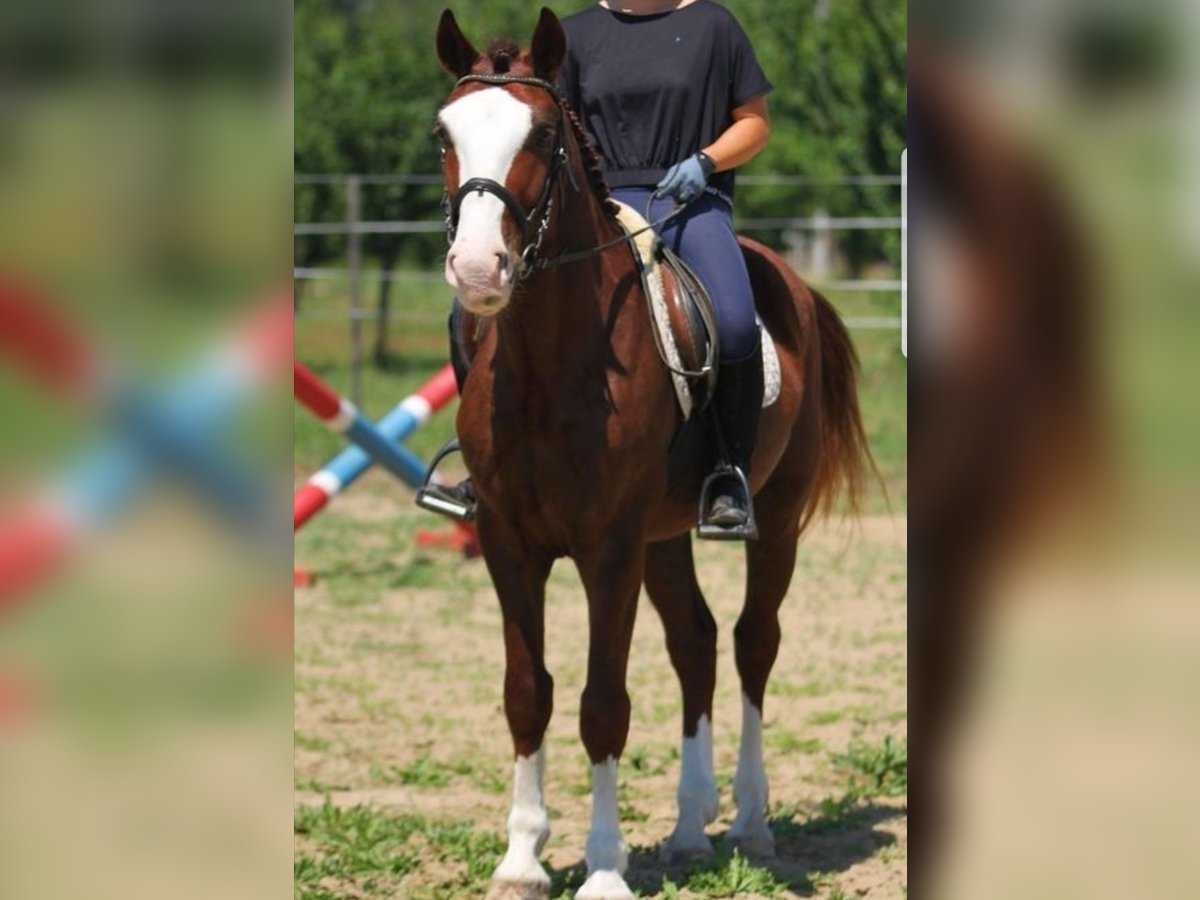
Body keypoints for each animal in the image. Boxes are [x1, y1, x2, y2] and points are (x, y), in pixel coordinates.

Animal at [432, 8, 873, 900]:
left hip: (774, 518)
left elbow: (603, 702)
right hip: (664, 536)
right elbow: (527, 692)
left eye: (541, 135)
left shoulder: (609, 549)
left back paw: (748, 820)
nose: (478, 270)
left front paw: (604, 867)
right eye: (444, 134)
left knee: (752, 642)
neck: (550, 363)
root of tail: (793, 282)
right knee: (696, 642)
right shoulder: (507, 541)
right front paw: (522, 859)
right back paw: (688, 831)